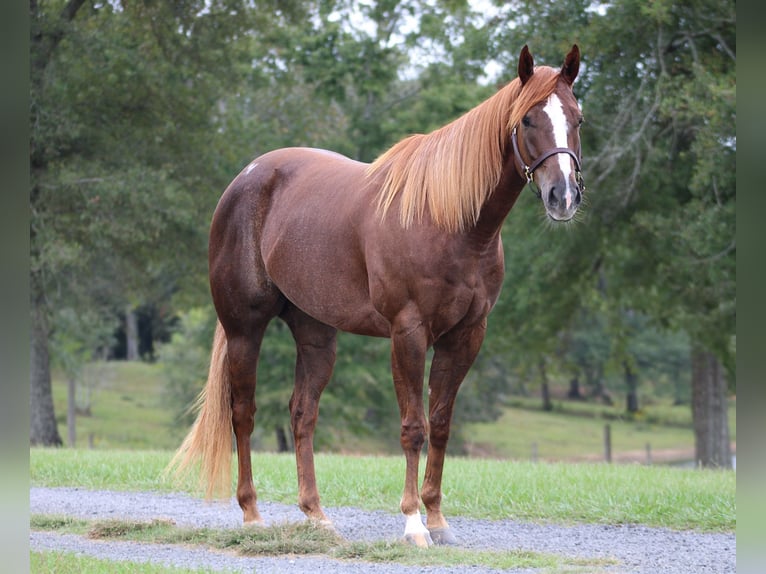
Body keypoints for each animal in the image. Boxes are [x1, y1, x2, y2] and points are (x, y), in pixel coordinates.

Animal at [170, 44, 588, 548]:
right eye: (527, 119)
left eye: (578, 118)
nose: (563, 196)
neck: (449, 221)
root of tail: (245, 178)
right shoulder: (408, 333)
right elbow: (413, 427)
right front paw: (412, 523)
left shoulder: (466, 335)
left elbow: (441, 424)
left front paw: (438, 519)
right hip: (244, 328)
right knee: (243, 413)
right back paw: (252, 513)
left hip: (316, 334)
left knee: (302, 414)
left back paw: (316, 515)